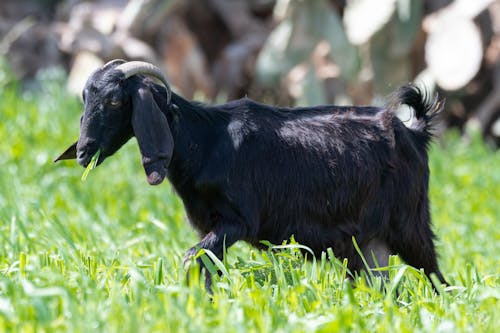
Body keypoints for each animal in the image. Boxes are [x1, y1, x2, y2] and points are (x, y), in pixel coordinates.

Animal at [56, 60, 448, 290]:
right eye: (86, 97)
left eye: (115, 101)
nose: (83, 151)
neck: (203, 140)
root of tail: (414, 132)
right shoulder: (212, 225)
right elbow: (207, 264)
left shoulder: (237, 220)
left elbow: (193, 258)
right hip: (363, 240)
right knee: (377, 280)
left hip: (410, 222)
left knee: (433, 273)